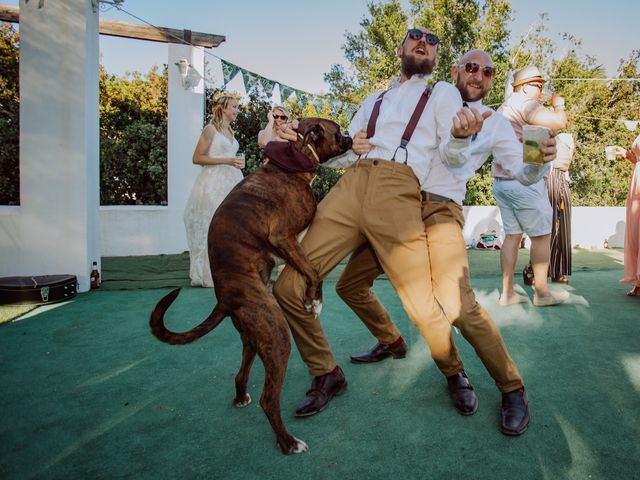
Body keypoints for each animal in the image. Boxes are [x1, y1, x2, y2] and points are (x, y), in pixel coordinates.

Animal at [149, 119, 352, 454]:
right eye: (337, 131)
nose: (351, 137)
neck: (294, 159)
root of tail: (225, 299)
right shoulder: (283, 236)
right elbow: (311, 269)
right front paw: (314, 300)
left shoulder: (288, 244)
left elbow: (308, 266)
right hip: (277, 335)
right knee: (268, 400)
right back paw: (288, 442)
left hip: (255, 340)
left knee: (240, 373)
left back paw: (241, 397)